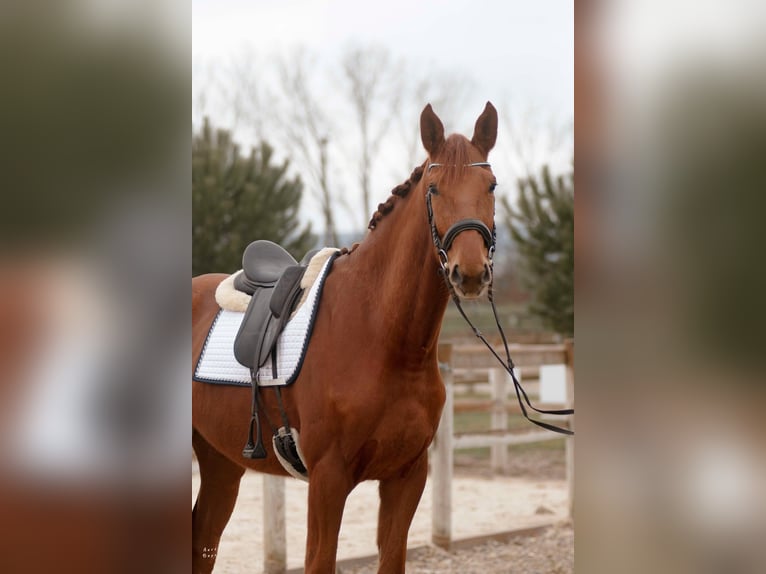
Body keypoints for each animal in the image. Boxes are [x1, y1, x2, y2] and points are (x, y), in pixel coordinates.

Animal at [192, 103, 500, 574]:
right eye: (434, 189)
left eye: (491, 186)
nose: (468, 273)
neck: (384, 339)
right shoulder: (328, 479)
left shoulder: (407, 476)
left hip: (220, 462)